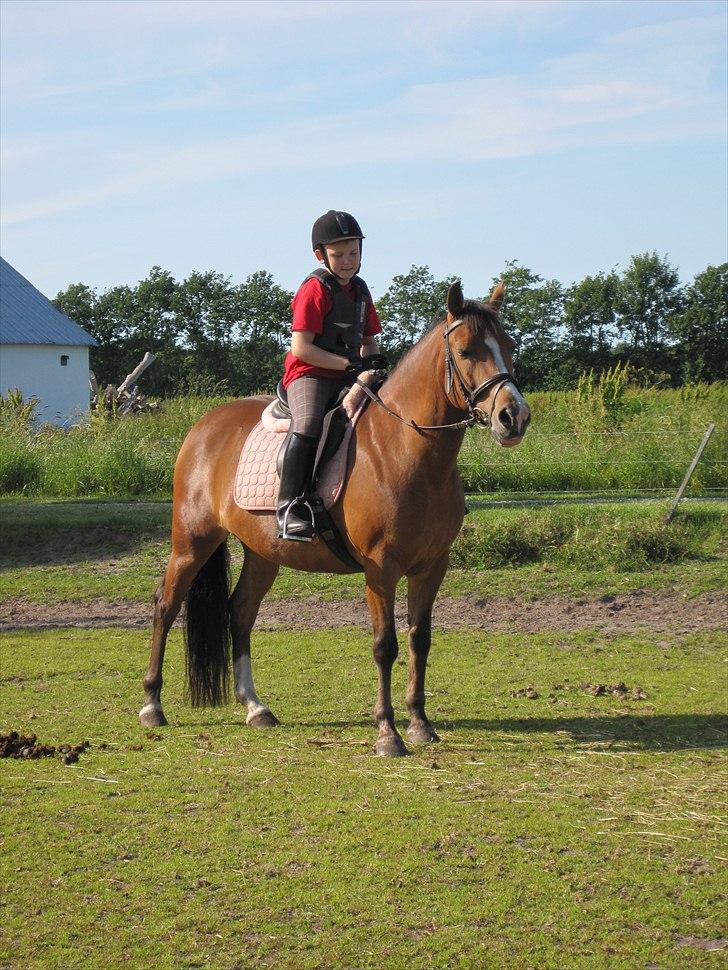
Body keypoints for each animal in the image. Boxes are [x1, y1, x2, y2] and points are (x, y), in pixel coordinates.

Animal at [140, 279, 531, 756]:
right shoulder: (381, 569)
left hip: (262, 552)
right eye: (466, 350)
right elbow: (385, 646)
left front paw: (420, 723)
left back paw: (255, 707)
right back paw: (152, 705)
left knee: (241, 612)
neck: (404, 449)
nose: (514, 416)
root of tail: (203, 426)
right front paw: (387, 733)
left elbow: (420, 639)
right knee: (166, 605)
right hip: (192, 542)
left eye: (508, 346)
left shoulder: (432, 566)